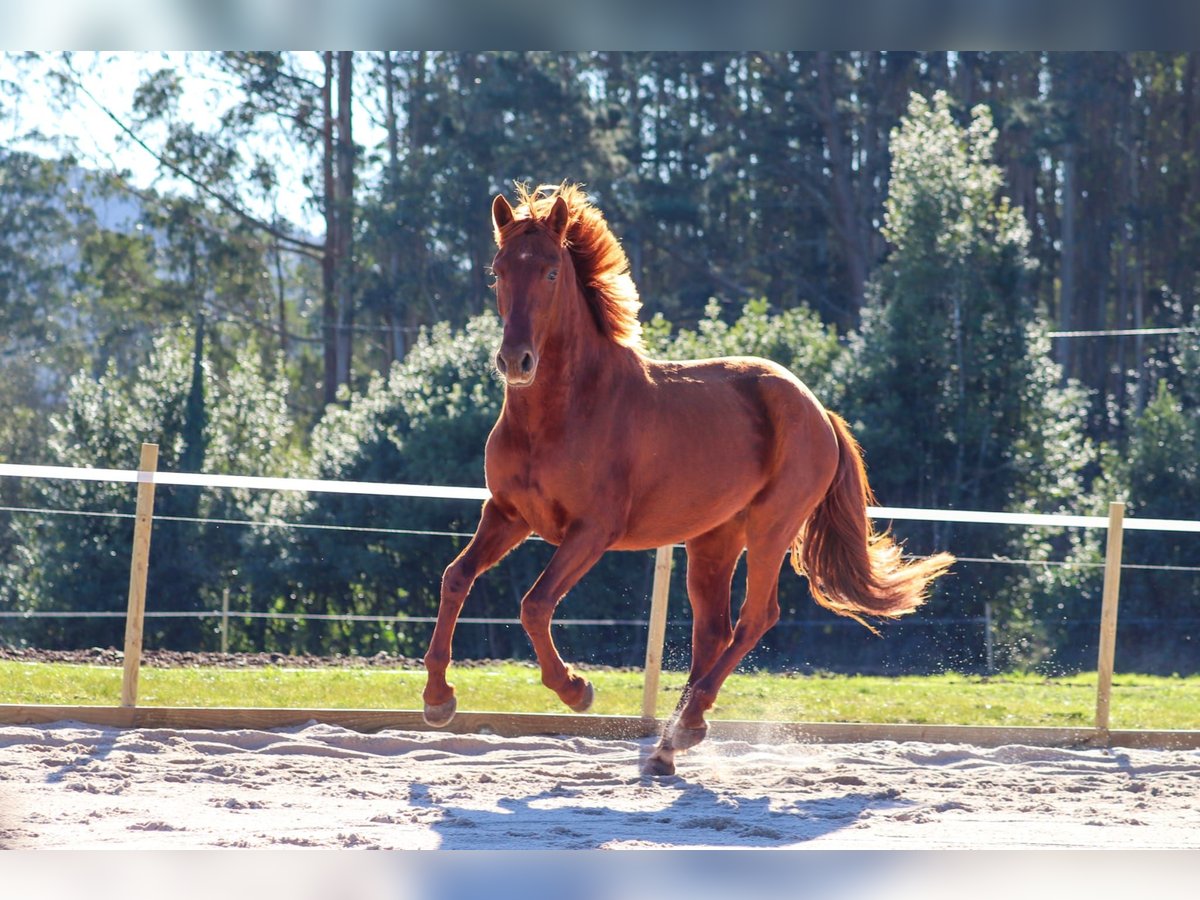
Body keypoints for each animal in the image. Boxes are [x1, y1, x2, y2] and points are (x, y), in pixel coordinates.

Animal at [424, 181, 955, 777]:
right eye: (497, 272)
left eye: (551, 272)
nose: (515, 360)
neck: (562, 412)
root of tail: (819, 410)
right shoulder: (508, 514)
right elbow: (455, 577)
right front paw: (438, 700)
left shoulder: (592, 532)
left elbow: (535, 605)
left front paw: (576, 689)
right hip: (712, 541)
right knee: (714, 630)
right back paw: (675, 739)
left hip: (770, 529)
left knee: (755, 618)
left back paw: (678, 733)